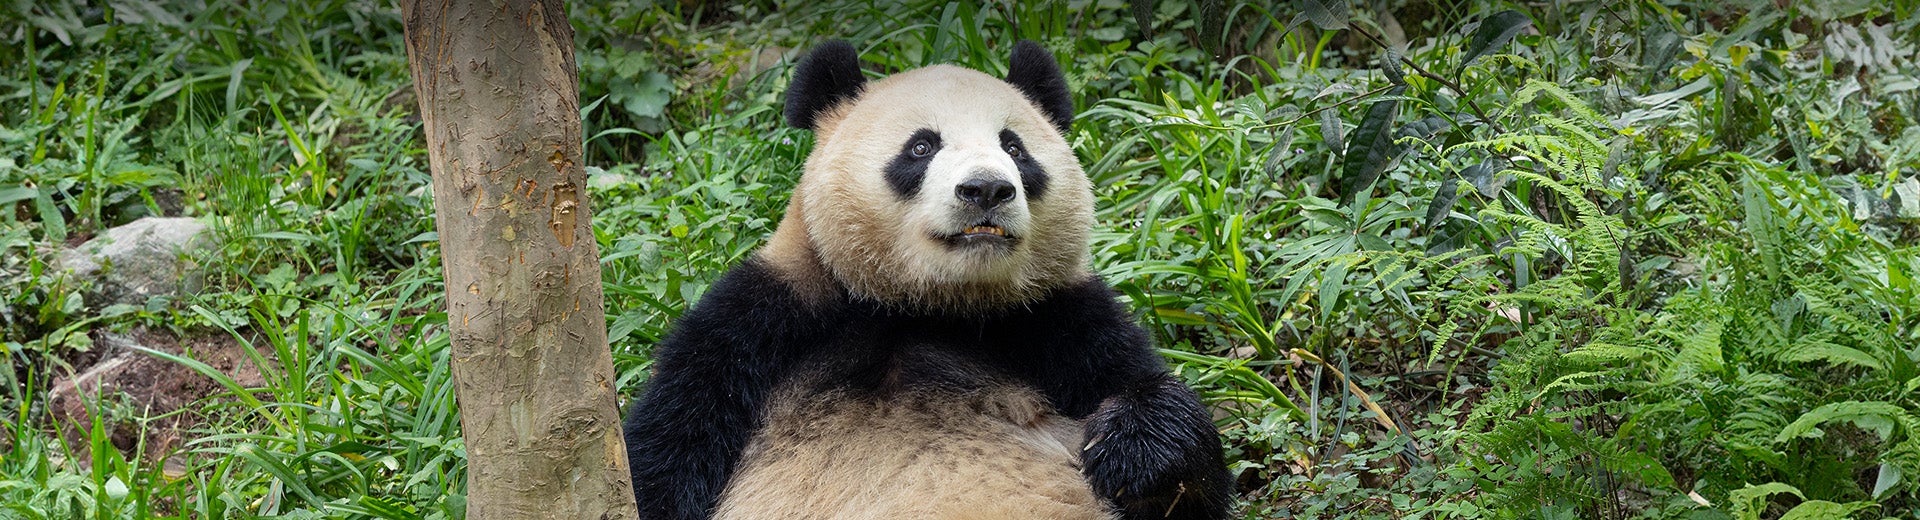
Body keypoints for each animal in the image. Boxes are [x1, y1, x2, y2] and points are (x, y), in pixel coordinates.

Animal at [621, 40, 1232, 520]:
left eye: (1014, 147)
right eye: (921, 146)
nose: (986, 189)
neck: (928, 306)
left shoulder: (1062, 320)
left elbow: (1180, 464)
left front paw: (1134, 447)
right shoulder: (763, 323)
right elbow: (665, 453)